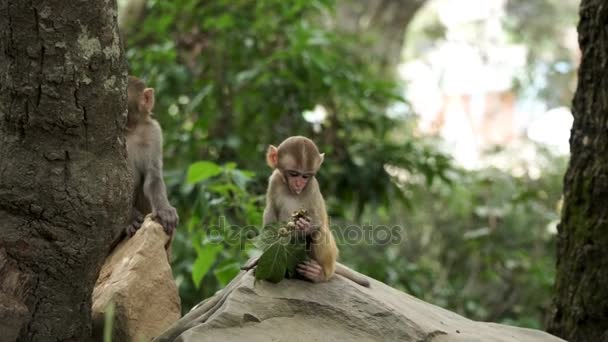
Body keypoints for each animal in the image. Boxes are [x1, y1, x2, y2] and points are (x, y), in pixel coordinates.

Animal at [243, 135, 370, 288]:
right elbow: (270, 212)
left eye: (305, 176)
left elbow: (317, 222)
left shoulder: (312, 186)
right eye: (294, 174)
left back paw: (320, 274)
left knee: (320, 233)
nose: (299, 184)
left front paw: (303, 226)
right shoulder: (274, 179)